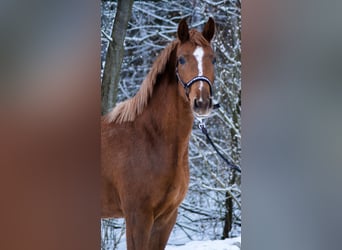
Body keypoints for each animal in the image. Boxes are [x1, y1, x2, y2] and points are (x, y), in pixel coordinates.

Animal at [100, 18, 215, 250]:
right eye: (181, 59)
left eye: (213, 59)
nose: (202, 103)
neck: (150, 139)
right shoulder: (138, 217)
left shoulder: (166, 218)